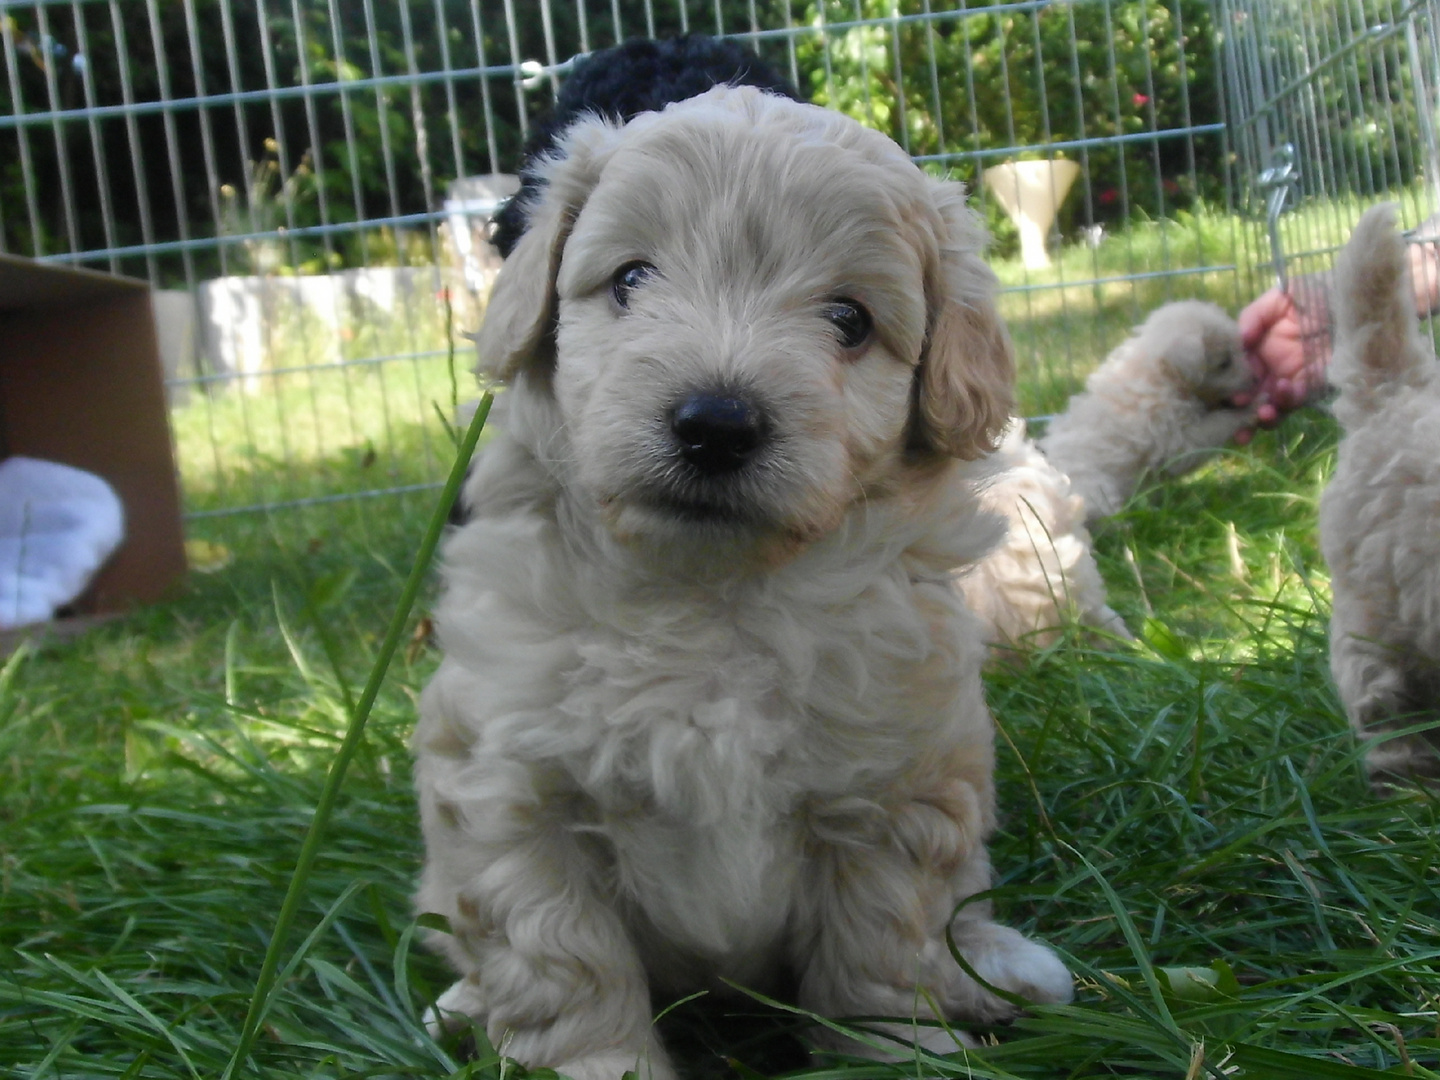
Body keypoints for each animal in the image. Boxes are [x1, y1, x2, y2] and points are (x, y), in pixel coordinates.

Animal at [411, 80, 1077, 1077]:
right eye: (631, 279)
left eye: (849, 320)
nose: (716, 423)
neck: (712, 597)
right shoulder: (514, 795)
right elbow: (564, 971)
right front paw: (600, 1064)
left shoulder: (894, 787)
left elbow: (882, 955)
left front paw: (894, 1055)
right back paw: (458, 1005)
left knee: (962, 915)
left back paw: (1001, 969)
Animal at [1036, 298, 1261, 521]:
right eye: (1225, 363)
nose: (1254, 378)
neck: (1158, 373)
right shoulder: (1178, 439)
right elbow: (1220, 424)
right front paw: (1254, 405)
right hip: (1094, 494)